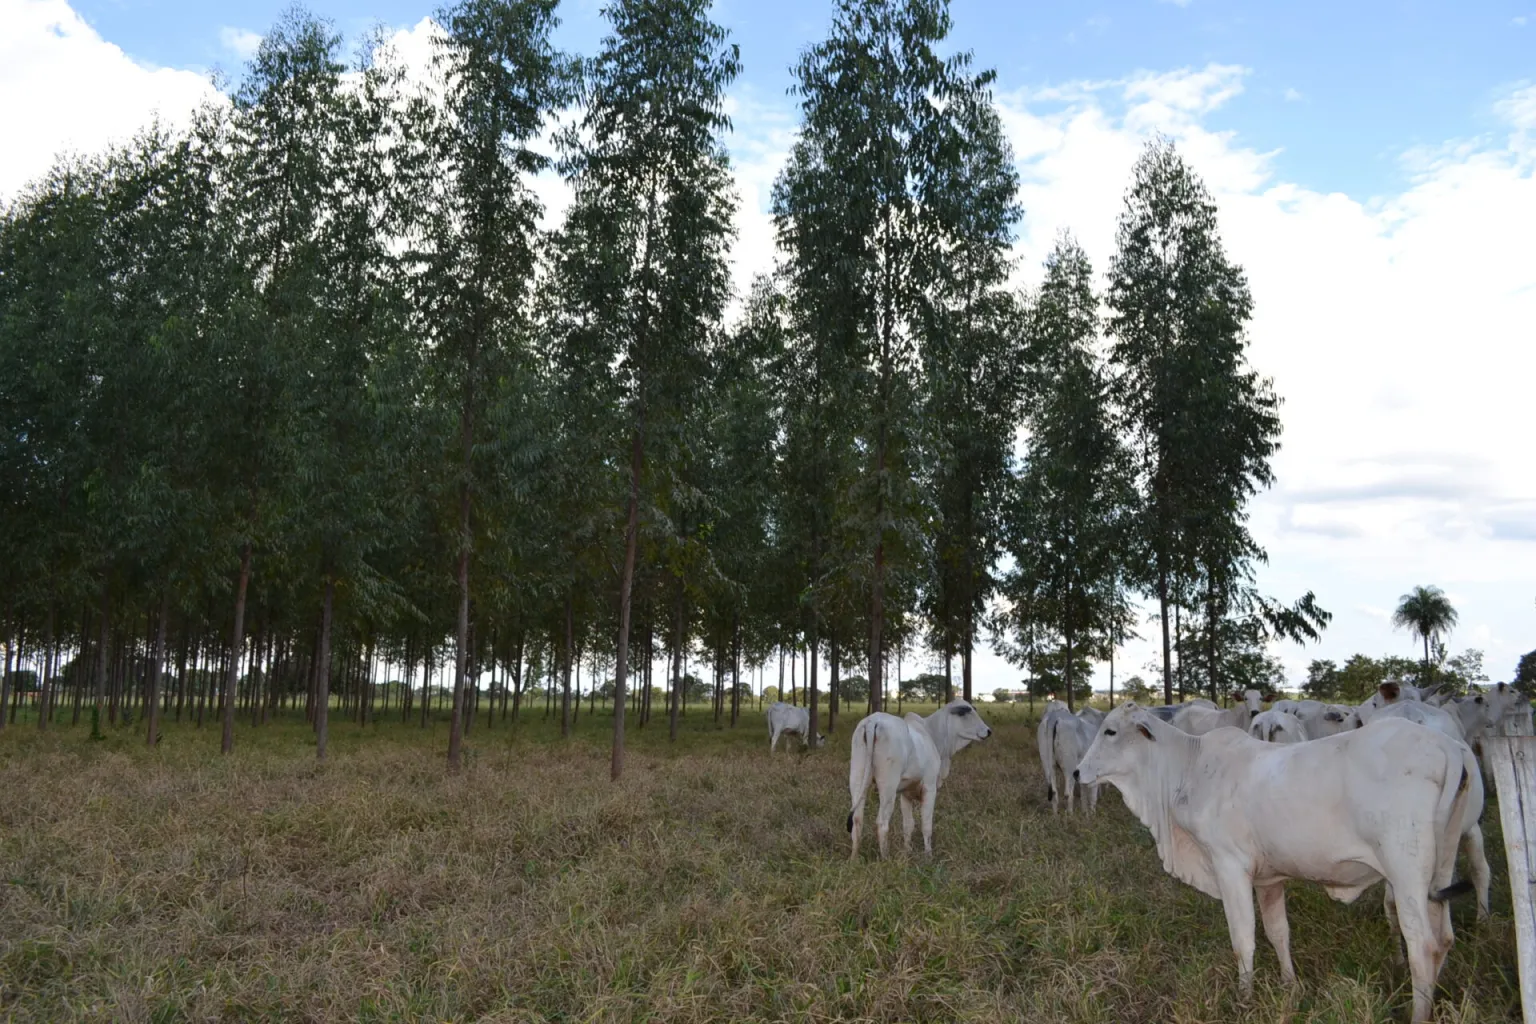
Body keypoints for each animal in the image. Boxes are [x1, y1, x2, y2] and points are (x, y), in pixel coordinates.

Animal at [847, 700, 989, 859]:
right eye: (966, 712)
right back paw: (885, 858)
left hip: (857, 777)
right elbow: (926, 825)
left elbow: (908, 825)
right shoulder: (930, 787)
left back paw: (854, 858)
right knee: (882, 822)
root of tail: (873, 721)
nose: (988, 731)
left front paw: (907, 851)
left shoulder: (905, 794)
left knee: (857, 819)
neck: (932, 734)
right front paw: (928, 856)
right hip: (888, 786)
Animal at [1075, 706, 1480, 1024]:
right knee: (1444, 938)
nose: (1078, 772)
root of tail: (1446, 745)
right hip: (1441, 868)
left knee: (1422, 945)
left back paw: (1418, 1013)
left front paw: (1244, 998)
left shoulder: (1229, 867)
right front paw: (1290, 985)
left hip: (1406, 873)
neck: (1187, 769)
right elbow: (1278, 932)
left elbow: (1243, 939)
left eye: (1110, 731)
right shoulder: (1269, 879)